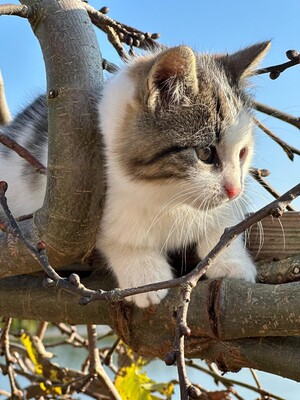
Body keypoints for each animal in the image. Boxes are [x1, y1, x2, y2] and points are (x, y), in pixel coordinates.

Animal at [0, 42, 270, 308]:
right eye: (205, 152)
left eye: (242, 153)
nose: (234, 190)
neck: (167, 195)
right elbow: (118, 237)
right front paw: (144, 274)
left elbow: (224, 225)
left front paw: (232, 262)